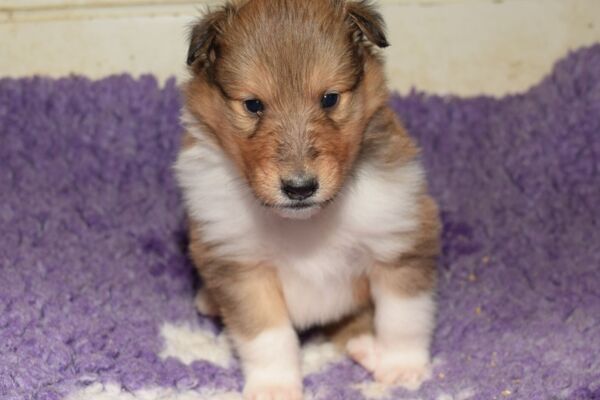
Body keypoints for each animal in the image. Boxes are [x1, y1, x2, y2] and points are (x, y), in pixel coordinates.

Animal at [175, 1, 441, 398]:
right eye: (253, 105)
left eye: (329, 98)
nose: (299, 188)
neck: (307, 224)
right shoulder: (240, 264)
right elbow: (267, 335)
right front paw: (274, 386)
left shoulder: (398, 239)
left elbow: (402, 315)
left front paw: (402, 368)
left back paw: (367, 349)